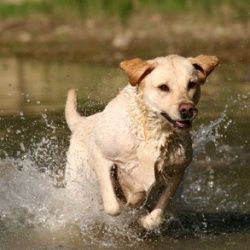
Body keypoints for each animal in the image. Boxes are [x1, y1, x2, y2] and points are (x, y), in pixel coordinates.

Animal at [64, 54, 219, 230]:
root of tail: (81, 122)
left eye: (191, 84)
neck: (154, 131)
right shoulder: (101, 155)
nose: (187, 109)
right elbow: (113, 206)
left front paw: (145, 219)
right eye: (163, 87)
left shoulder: (178, 171)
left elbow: (156, 214)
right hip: (76, 183)